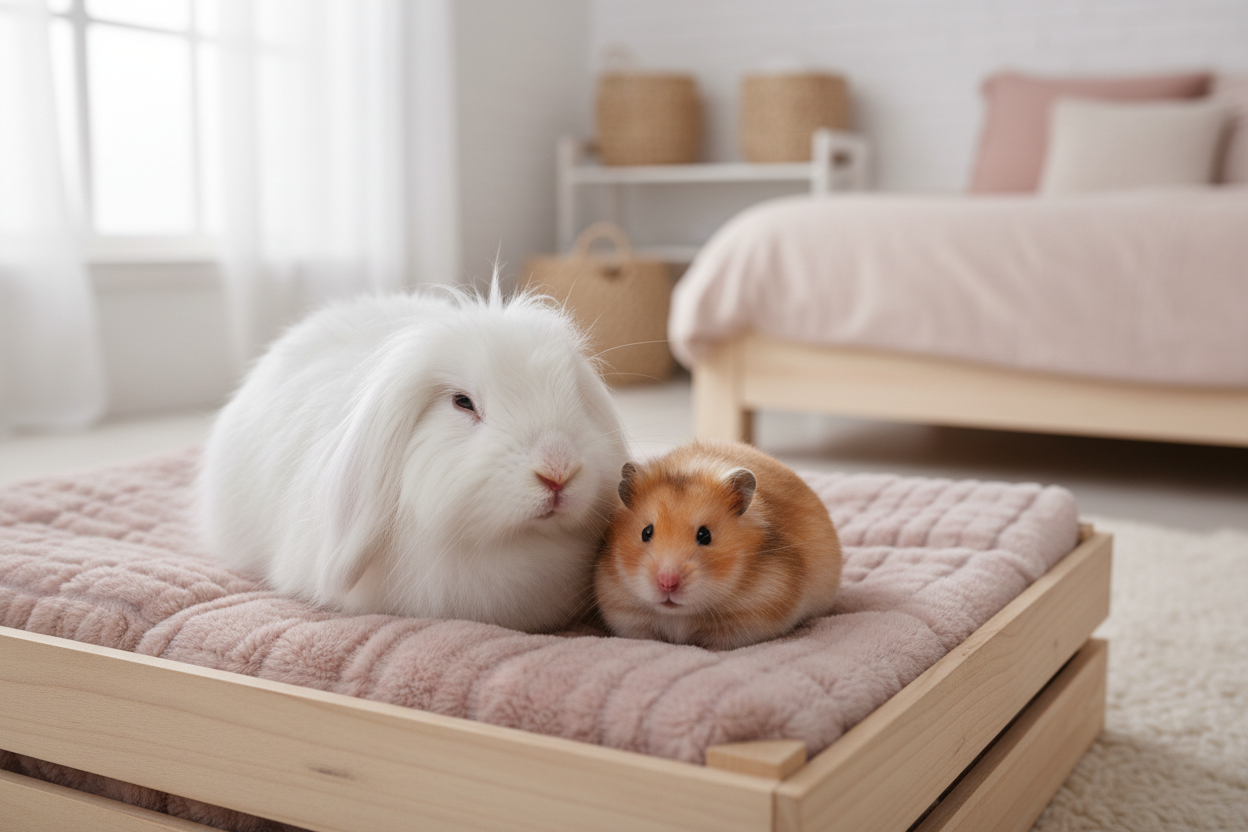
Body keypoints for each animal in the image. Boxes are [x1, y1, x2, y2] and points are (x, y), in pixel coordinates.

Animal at [594, 439, 842, 650]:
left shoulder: (750, 619)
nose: (667, 583)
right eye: (646, 532)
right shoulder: (626, 615)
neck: (680, 616)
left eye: (705, 535)